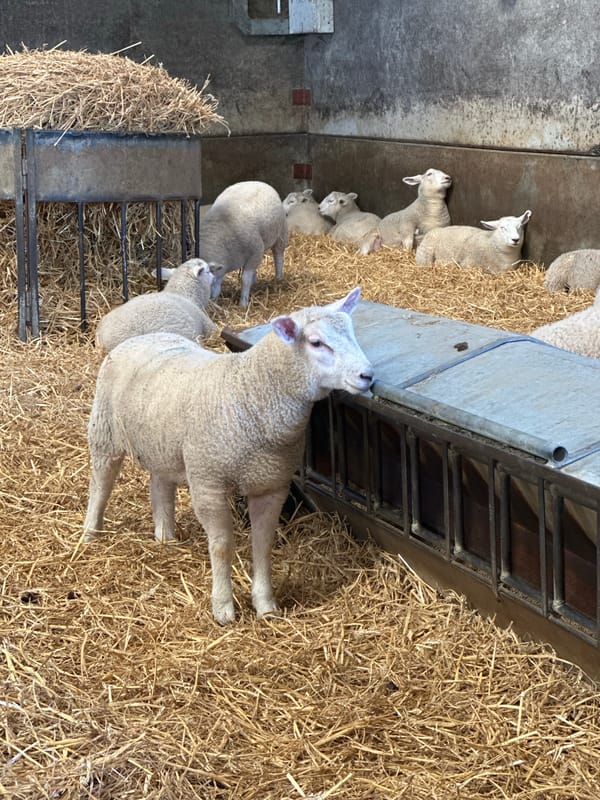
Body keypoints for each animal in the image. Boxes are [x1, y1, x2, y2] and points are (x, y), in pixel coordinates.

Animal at [83, 288, 374, 624]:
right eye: (316, 342)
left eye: (352, 332)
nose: (368, 375)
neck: (249, 392)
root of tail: (144, 336)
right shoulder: (208, 484)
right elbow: (222, 546)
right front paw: (223, 608)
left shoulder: (271, 484)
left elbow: (263, 544)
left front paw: (265, 604)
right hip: (104, 432)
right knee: (100, 484)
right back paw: (90, 533)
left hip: (164, 445)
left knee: (160, 485)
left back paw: (165, 536)